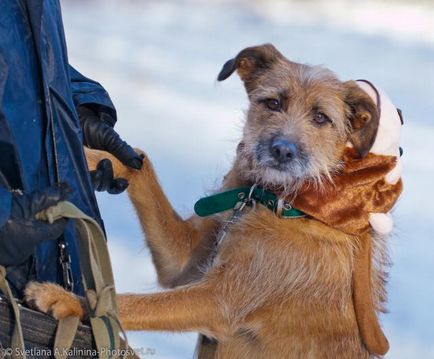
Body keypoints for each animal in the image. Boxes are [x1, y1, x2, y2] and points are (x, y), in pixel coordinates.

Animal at [26, 43, 390, 358]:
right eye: (273, 103)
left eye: (320, 118)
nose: (283, 151)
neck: (275, 200)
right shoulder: (183, 264)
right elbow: (141, 163)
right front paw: (94, 153)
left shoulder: (218, 301)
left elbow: (124, 304)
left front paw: (68, 300)